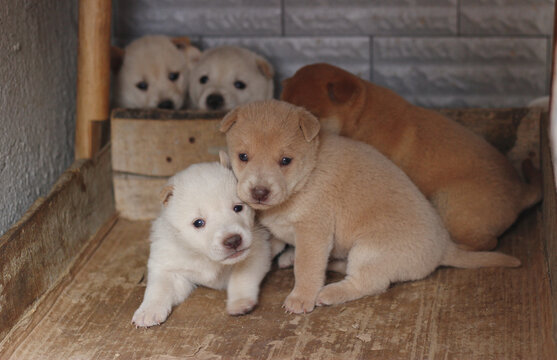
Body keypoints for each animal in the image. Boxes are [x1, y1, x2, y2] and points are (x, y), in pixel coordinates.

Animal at [132, 154, 276, 326]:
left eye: (238, 208)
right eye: (198, 223)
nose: (233, 240)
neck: (204, 257)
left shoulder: (257, 251)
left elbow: (241, 277)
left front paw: (239, 303)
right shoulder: (168, 266)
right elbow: (158, 288)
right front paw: (148, 311)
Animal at [219, 100, 520, 314]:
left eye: (285, 160)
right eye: (243, 156)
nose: (259, 192)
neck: (307, 176)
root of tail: (444, 248)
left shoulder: (313, 232)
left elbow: (307, 268)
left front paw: (301, 298)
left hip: (369, 251)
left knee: (369, 283)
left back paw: (329, 293)